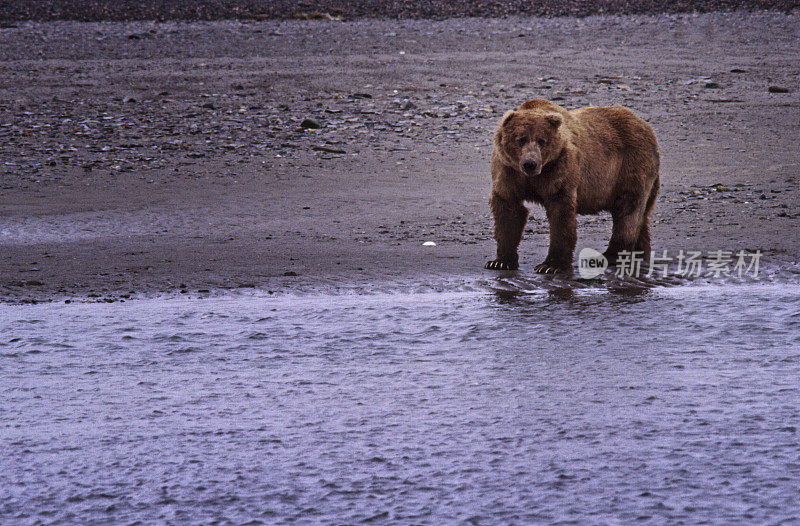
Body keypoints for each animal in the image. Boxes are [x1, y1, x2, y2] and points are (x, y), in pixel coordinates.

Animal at [484, 99, 660, 274]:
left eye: (541, 140)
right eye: (520, 139)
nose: (530, 163)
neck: (534, 176)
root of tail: (645, 125)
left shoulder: (560, 167)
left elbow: (560, 214)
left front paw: (550, 265)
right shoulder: (508, 170)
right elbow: (509, 210)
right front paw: (500, 262)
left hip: (630, 165)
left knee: (628, 210)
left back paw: (610, 256)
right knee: (641, 215)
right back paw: (640, 254)